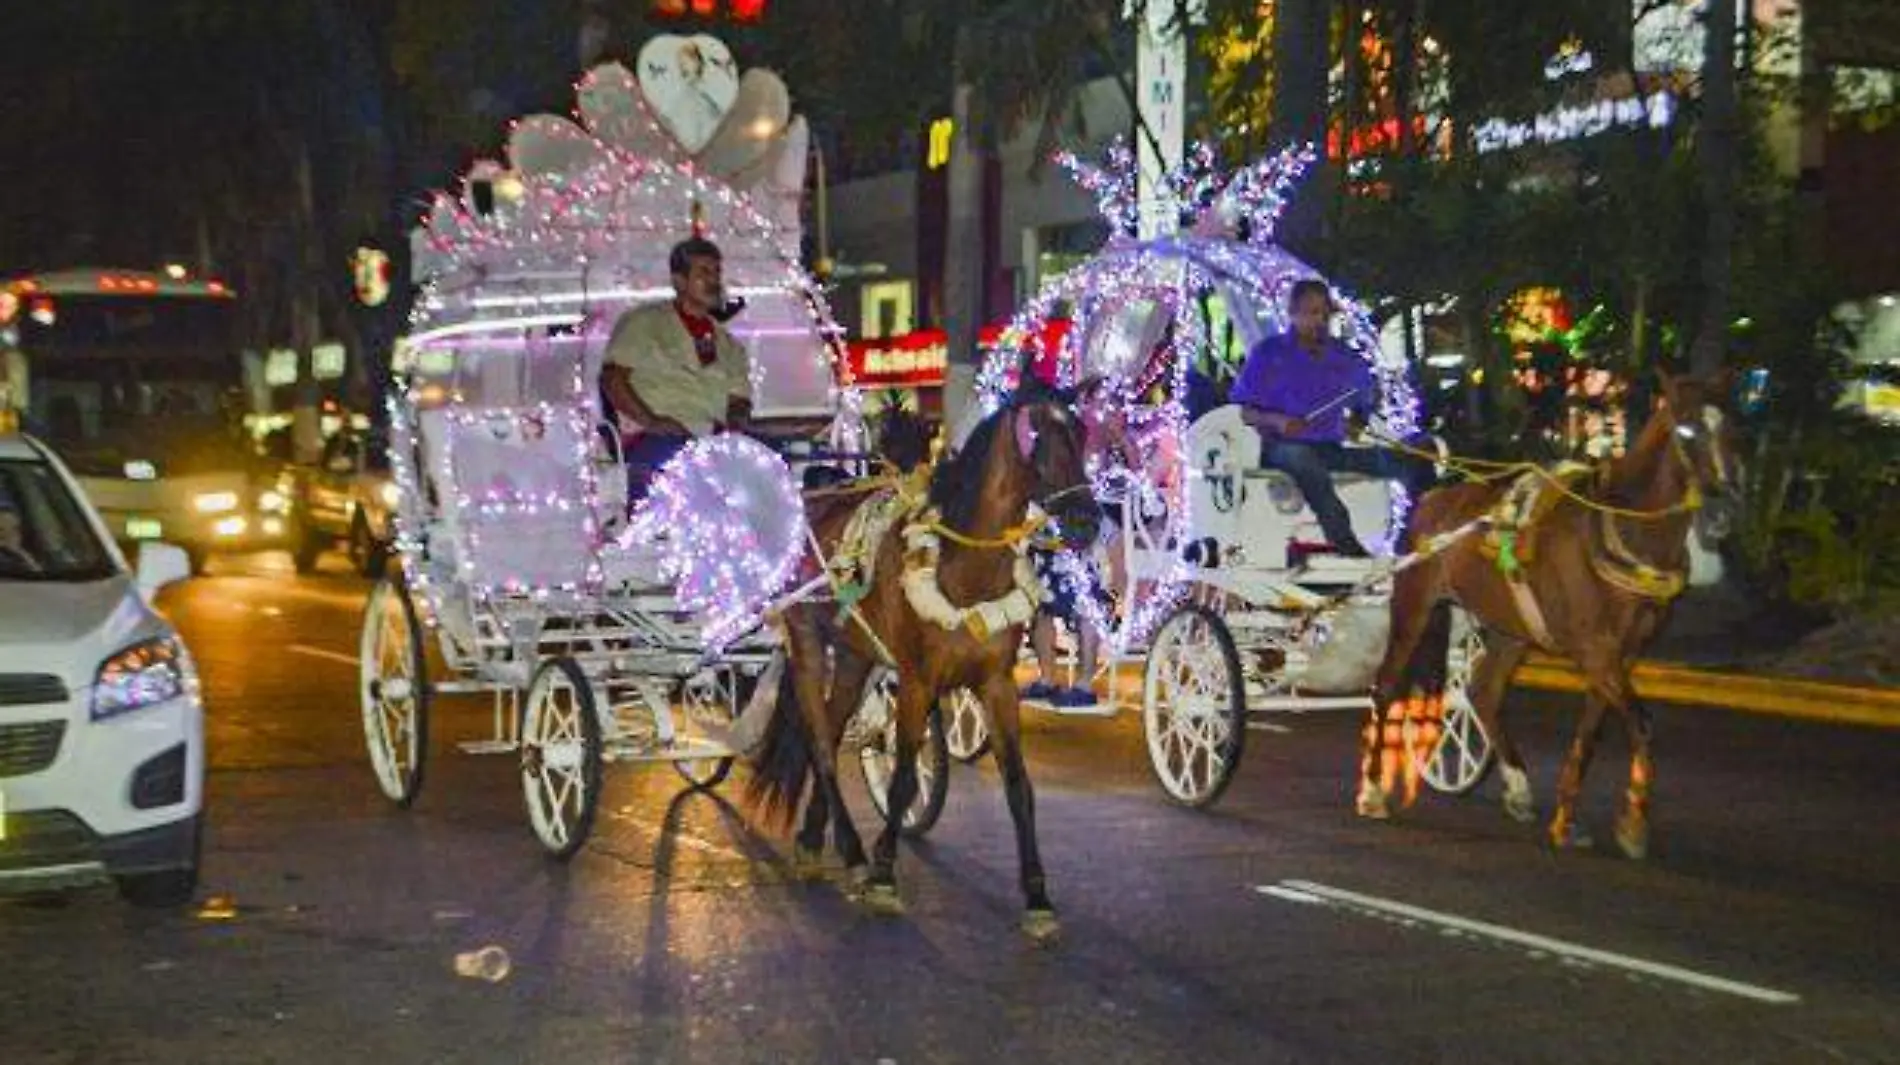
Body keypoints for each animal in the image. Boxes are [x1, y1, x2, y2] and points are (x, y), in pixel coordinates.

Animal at [744, 385, 1102, 934]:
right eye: (1037, 434)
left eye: (1082, 432)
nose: (1087, 520)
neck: (966, 568)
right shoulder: (917, 682)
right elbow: (904, 780)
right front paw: (884, 876)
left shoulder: (997, 684)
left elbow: (1019, 787)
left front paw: (1038, 897)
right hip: (806, 640)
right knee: (820, 741)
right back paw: (852, 851)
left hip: (855, 655)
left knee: (830, 725)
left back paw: (813, 839)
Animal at [1360, 372, 1740, 854]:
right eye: (1687, 430)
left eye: (1733, 430)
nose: (1723, 510)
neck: (1621, 533)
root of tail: (1431, 499)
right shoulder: (1595, 651)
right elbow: (1641, 723)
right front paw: (1633, 823)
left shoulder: (1620, 655)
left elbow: (1591, 732)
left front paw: (1566, 819)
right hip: (1414, 605)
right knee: (1386, 686)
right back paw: (1372, 792)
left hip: (1510, 628)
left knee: (1483, 690)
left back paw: (1519, 788)